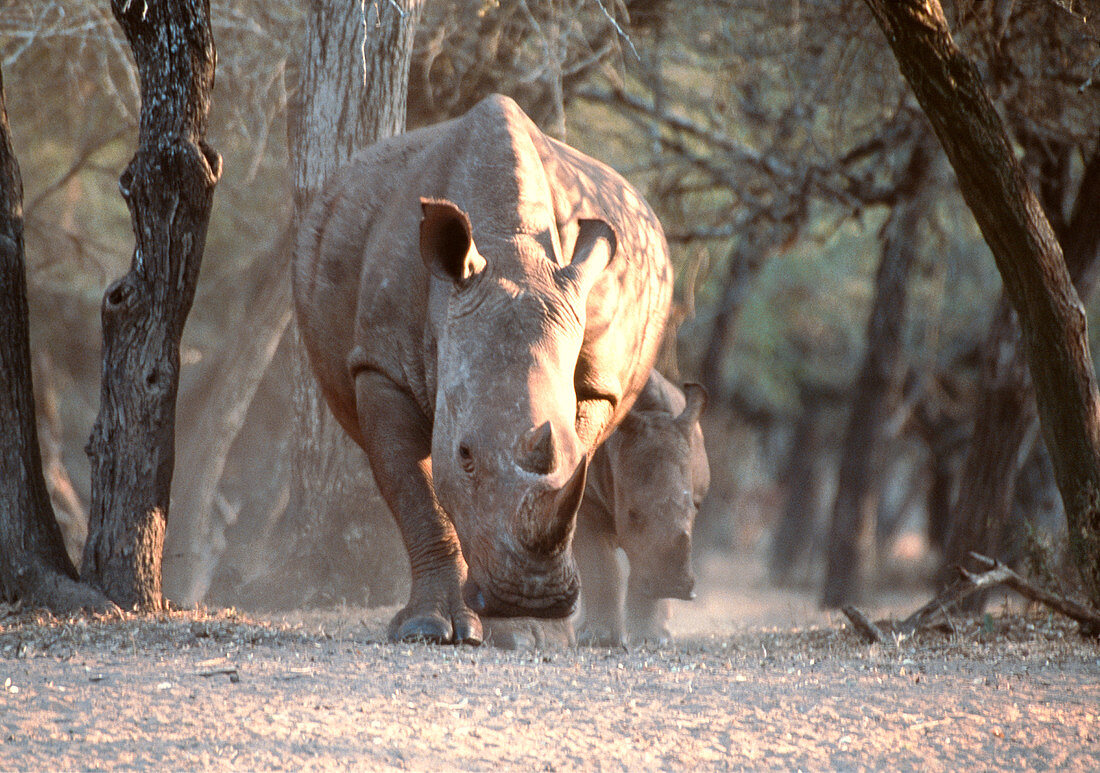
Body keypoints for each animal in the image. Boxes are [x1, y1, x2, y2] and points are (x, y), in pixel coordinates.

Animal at [292, 93, 668, 642]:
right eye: (465, 454)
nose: (532, 597)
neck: (511, 248)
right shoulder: (381, 366)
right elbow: (417, 493)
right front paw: (428, 628)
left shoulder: (599, 382)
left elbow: (566, 478)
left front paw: (524, 628)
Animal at [572, 373, 708, 646]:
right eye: (633, 514)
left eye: (695, 509)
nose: (672, 586)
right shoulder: (586, 502)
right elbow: (600, 568)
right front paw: (599, 638)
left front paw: (649, 638)